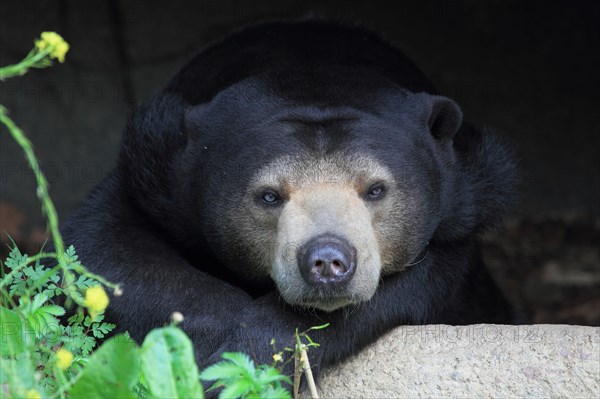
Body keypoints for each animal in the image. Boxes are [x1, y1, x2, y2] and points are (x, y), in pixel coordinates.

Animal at [63, 19, 516, 378]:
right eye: (269, 196)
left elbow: (421, 279)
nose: (328, 261)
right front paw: (226, 341)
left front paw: (260, 344)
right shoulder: (158, 171)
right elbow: (104, 246)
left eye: (376, 189)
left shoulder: (467, 194)